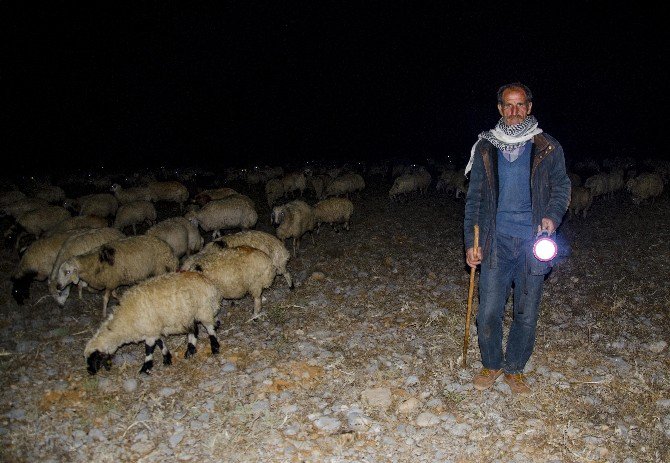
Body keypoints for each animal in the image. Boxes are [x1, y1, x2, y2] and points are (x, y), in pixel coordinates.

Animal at [84, 272, 223, 376]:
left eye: (94, 358)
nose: (90, 372)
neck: (124, 322)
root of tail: (209, 283)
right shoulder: (153, 329)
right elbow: (160, 343)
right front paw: (167, 358)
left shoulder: (150, 330)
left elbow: (149, 350)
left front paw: (145, 368)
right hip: (188, 315)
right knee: (194, 330)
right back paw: (190, 351)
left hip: (203, 309)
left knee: (210, 328)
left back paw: (214, 348)